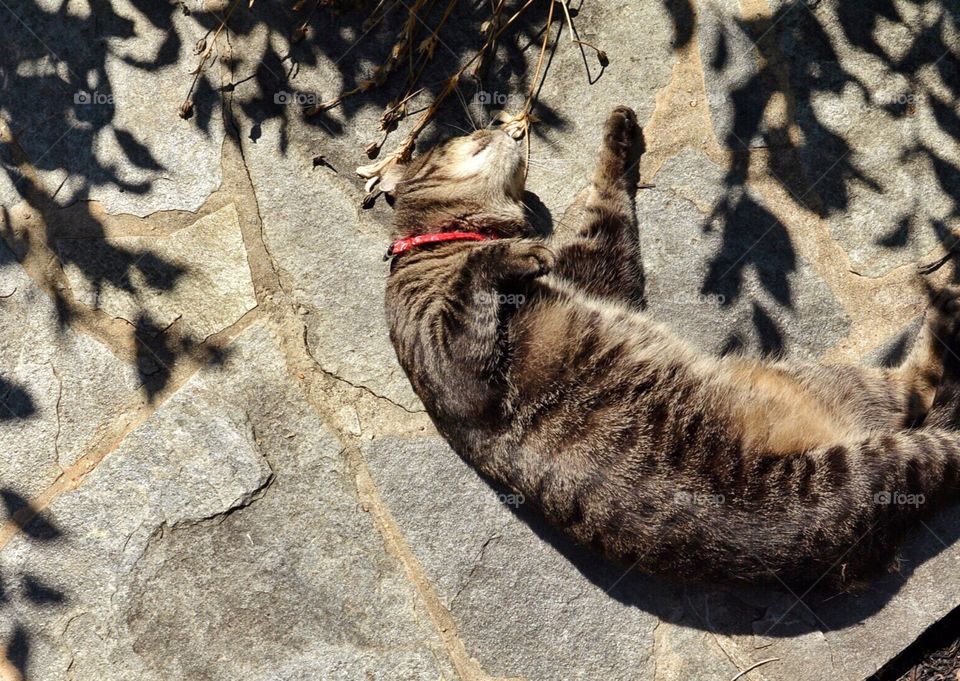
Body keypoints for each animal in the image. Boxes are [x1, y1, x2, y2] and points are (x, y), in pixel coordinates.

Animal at [380, 107, 960, 588]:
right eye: (466, 136)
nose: (506, 123)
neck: (452, 240)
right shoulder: (457, 364)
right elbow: (482, 275)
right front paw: (517, 252)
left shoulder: (601, 268)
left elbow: (606, 200)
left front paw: (618, 137)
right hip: (867, 458)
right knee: (936, 417)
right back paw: (948, 299)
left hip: (838, 382)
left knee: (922, 388)